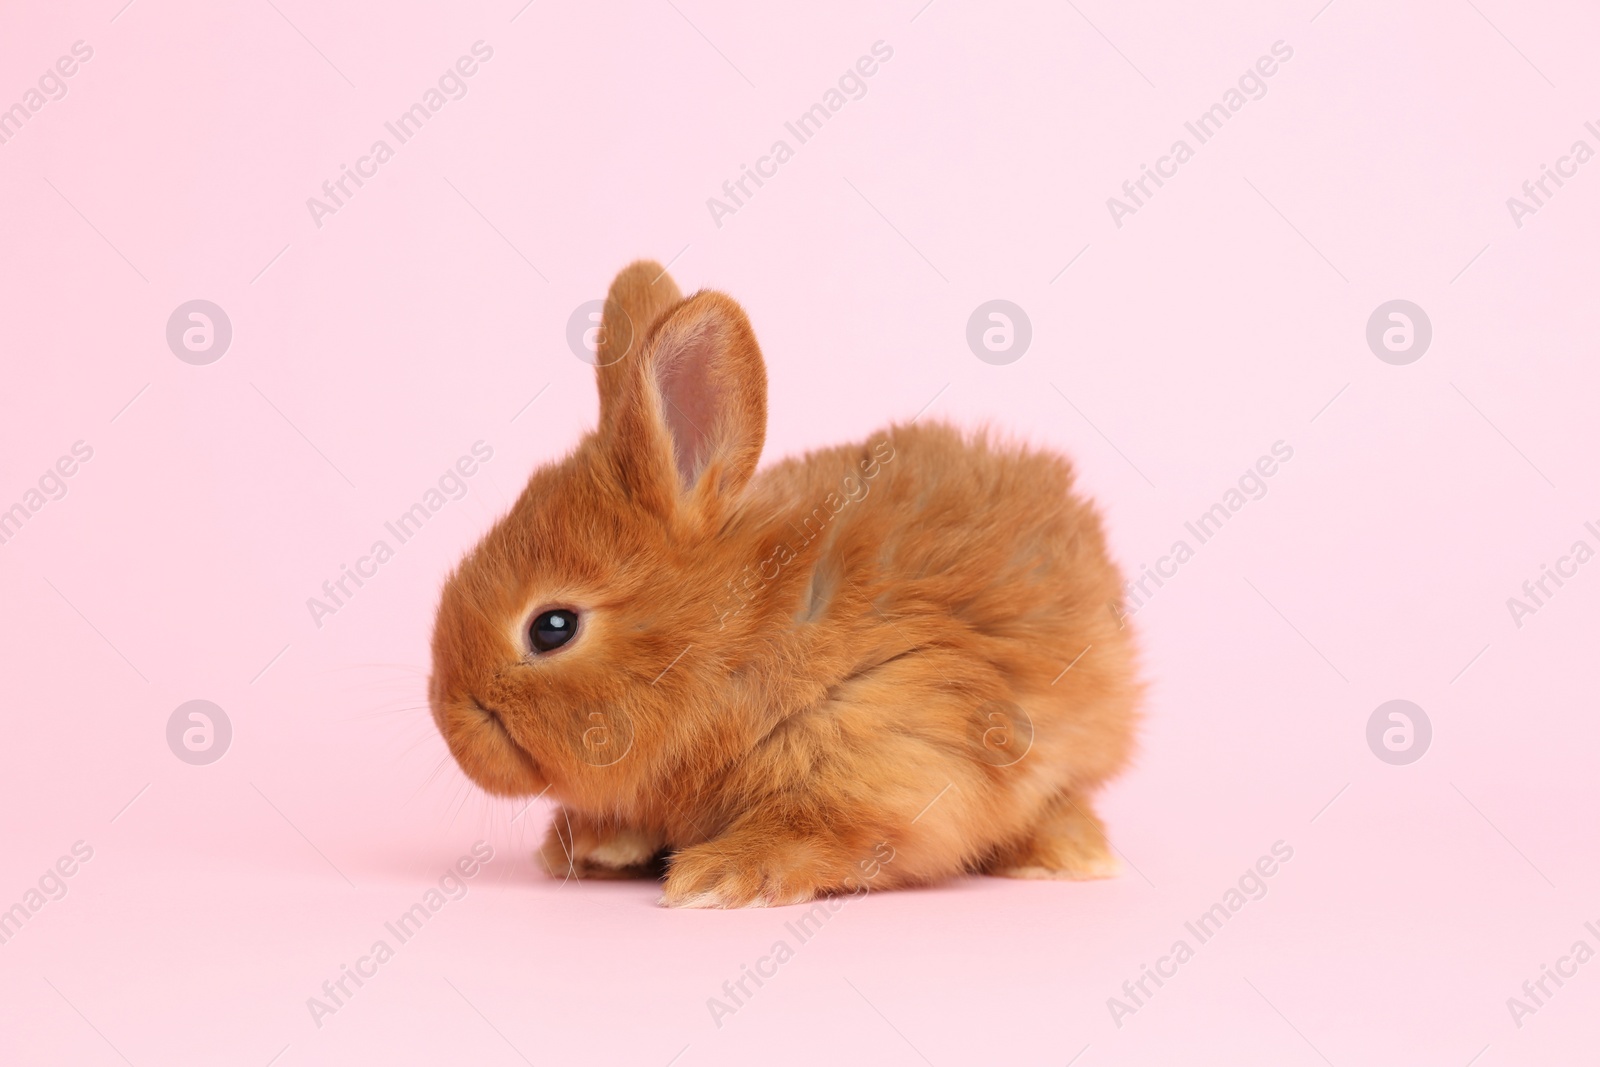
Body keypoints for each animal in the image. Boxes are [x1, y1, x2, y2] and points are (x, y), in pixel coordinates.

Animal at [432, 260, 1145, 908]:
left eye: (553, 627)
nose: (449, 722)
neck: (733, 647)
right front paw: (593, 846)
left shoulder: (890, 744)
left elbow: (815, 831)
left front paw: (715, 878)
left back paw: (1068, 859)